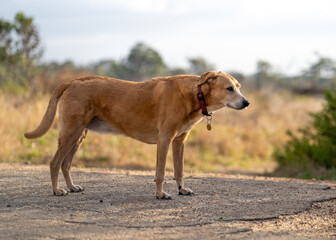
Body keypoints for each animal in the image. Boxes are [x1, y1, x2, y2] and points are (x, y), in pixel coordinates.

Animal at [24, 71, 249, 199]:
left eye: (239, 87)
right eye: (229, 88)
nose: (247, 102)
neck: (196, 94)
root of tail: (73, 82)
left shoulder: (179, 142)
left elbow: (179, 170)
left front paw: (181, 189)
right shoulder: (164, 139)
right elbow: (160, 173)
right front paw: (160, 194)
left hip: (79, 136)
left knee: (66, 164)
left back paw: (71, 187)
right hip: (71, 133)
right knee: (55, 163)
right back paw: (56, 191)